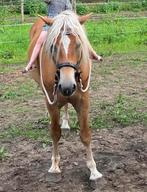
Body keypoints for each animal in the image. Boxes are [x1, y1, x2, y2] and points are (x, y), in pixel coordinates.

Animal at [28, 10, 102, 180]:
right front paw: (55, 165)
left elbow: (85, 134)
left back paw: (66, 122)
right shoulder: (52, 101)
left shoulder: (83, 100)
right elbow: (55, 133)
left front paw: (93, 170)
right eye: (53, 46)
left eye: (79, 44)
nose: (67, 85)